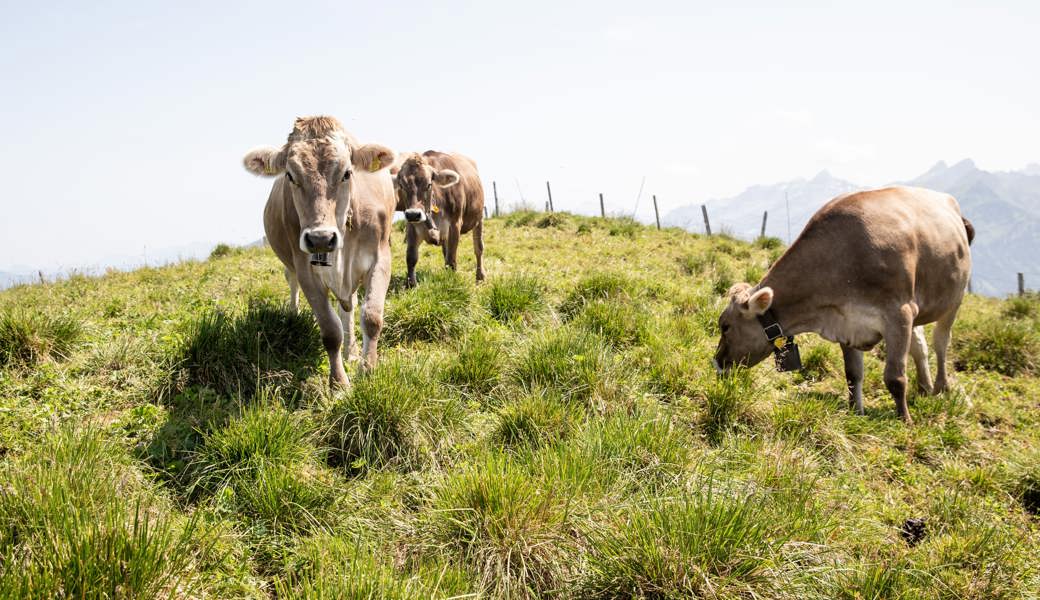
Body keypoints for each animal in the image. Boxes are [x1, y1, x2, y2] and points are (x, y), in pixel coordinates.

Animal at [242, 116, 396, 387]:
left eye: (347, 173)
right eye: (290, 175)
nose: (320, 238)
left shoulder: (380, 257)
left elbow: (372, 317)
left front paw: (367, 370)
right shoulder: (306, 271)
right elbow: (330, 331)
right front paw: (338, 384)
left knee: (349, 307)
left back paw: (352, 353)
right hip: (291, 265)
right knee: (292, 281)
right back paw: (293, 315)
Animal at [391, 151, 486, 287]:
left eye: (429, 184)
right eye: (402, 186)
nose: (413, 214)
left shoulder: (455, 224)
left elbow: (451, 259)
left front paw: (451, 282)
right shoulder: (412, 226)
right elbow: (411, 257)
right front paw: (411, 285)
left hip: (479, 218)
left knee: (478, 248)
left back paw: (480, 277)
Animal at [712, 186, 974, 425]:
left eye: (725, 326)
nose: (717, 362)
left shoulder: (898, 313)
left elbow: (895, 378)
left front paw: (905, 421)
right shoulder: (847, 321)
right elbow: (853, 374)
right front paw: (856, 412)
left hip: (955, 298)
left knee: (941, 342)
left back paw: (941, 387)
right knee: (920, 345)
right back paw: (924, 387)